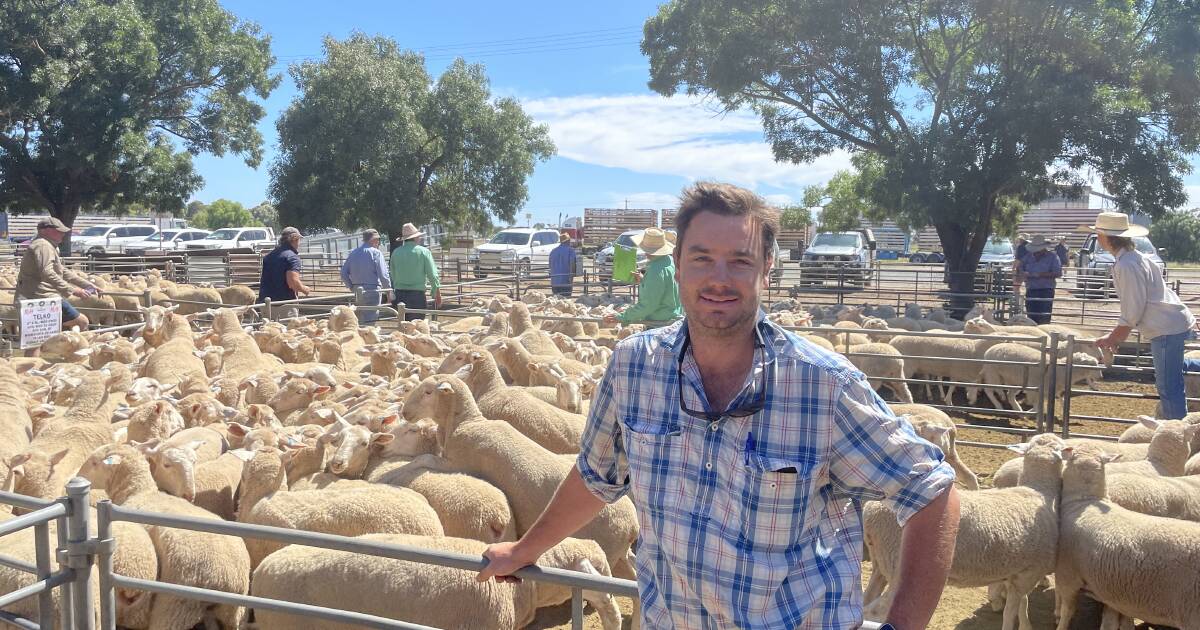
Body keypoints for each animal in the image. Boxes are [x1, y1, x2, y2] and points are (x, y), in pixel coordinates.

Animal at [75, 441, 250, 628]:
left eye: (94, 462)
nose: (77, 476)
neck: (140, 491)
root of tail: (227, 577)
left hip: (174, 607)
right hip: (233, 613)